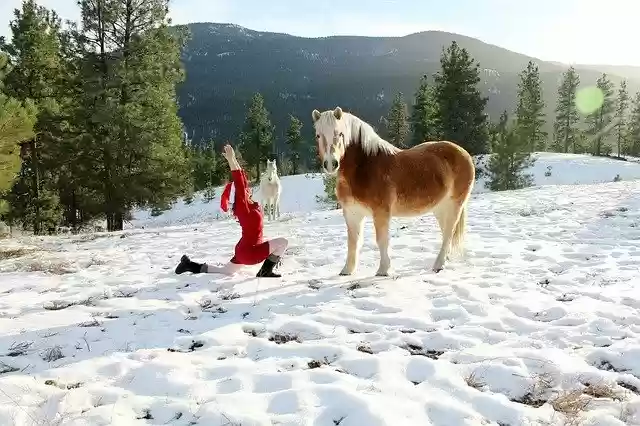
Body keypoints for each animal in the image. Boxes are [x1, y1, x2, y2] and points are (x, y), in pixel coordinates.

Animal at [311, 106, 475, 276]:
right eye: (318, 135)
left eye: (340, 133)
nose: (331, 164)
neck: (364, 168)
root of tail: (463, 152)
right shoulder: (352, 213)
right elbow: (353, 241)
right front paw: (347, 270)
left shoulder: (381, 212)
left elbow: (381, 240)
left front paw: (383, 270)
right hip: (440, 208)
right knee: (446, 234)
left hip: (455, 204)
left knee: (449, 232)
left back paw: (439, 264)